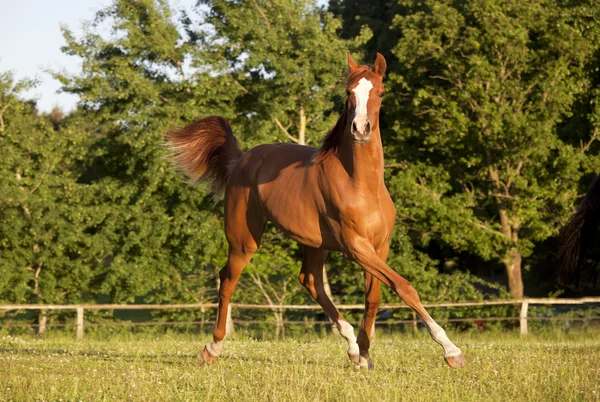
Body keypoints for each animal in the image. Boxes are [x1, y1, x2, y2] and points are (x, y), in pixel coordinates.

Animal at [166, 51, 466, 370]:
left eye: (381, 92)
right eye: (348, 92)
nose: (360, 129)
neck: (362, 184)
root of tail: (241, 160)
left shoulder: (379, 246)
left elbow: (374, 297)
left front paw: (365, 356)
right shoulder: (356, 247)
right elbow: (404, 287)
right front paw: (451, 351)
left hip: (314, 243)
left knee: (309, 280)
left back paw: (351, 347)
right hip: (243, 240)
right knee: (227, 279)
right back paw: (212, 348)